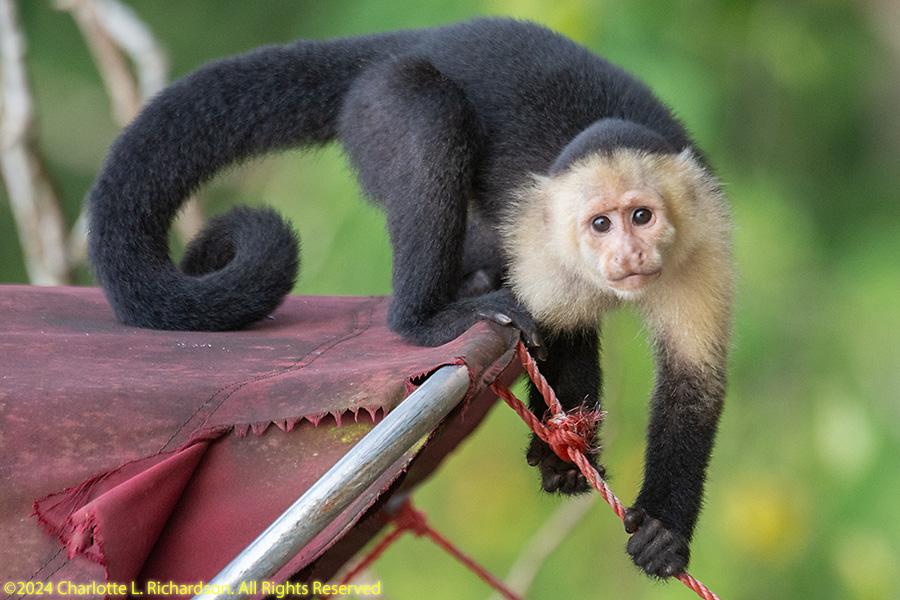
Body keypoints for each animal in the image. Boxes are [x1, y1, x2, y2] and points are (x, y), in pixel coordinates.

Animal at [86, 18, 733, 579]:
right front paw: (559, 447)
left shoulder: (705, 239)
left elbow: (693, 387)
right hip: (379, 109)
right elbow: (558, 334)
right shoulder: (548, 252)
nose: (628, 255)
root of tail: (420, 36)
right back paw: (431, 317)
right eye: (601, 224)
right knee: (430, 119)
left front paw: (664, 529)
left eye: (641, 216)